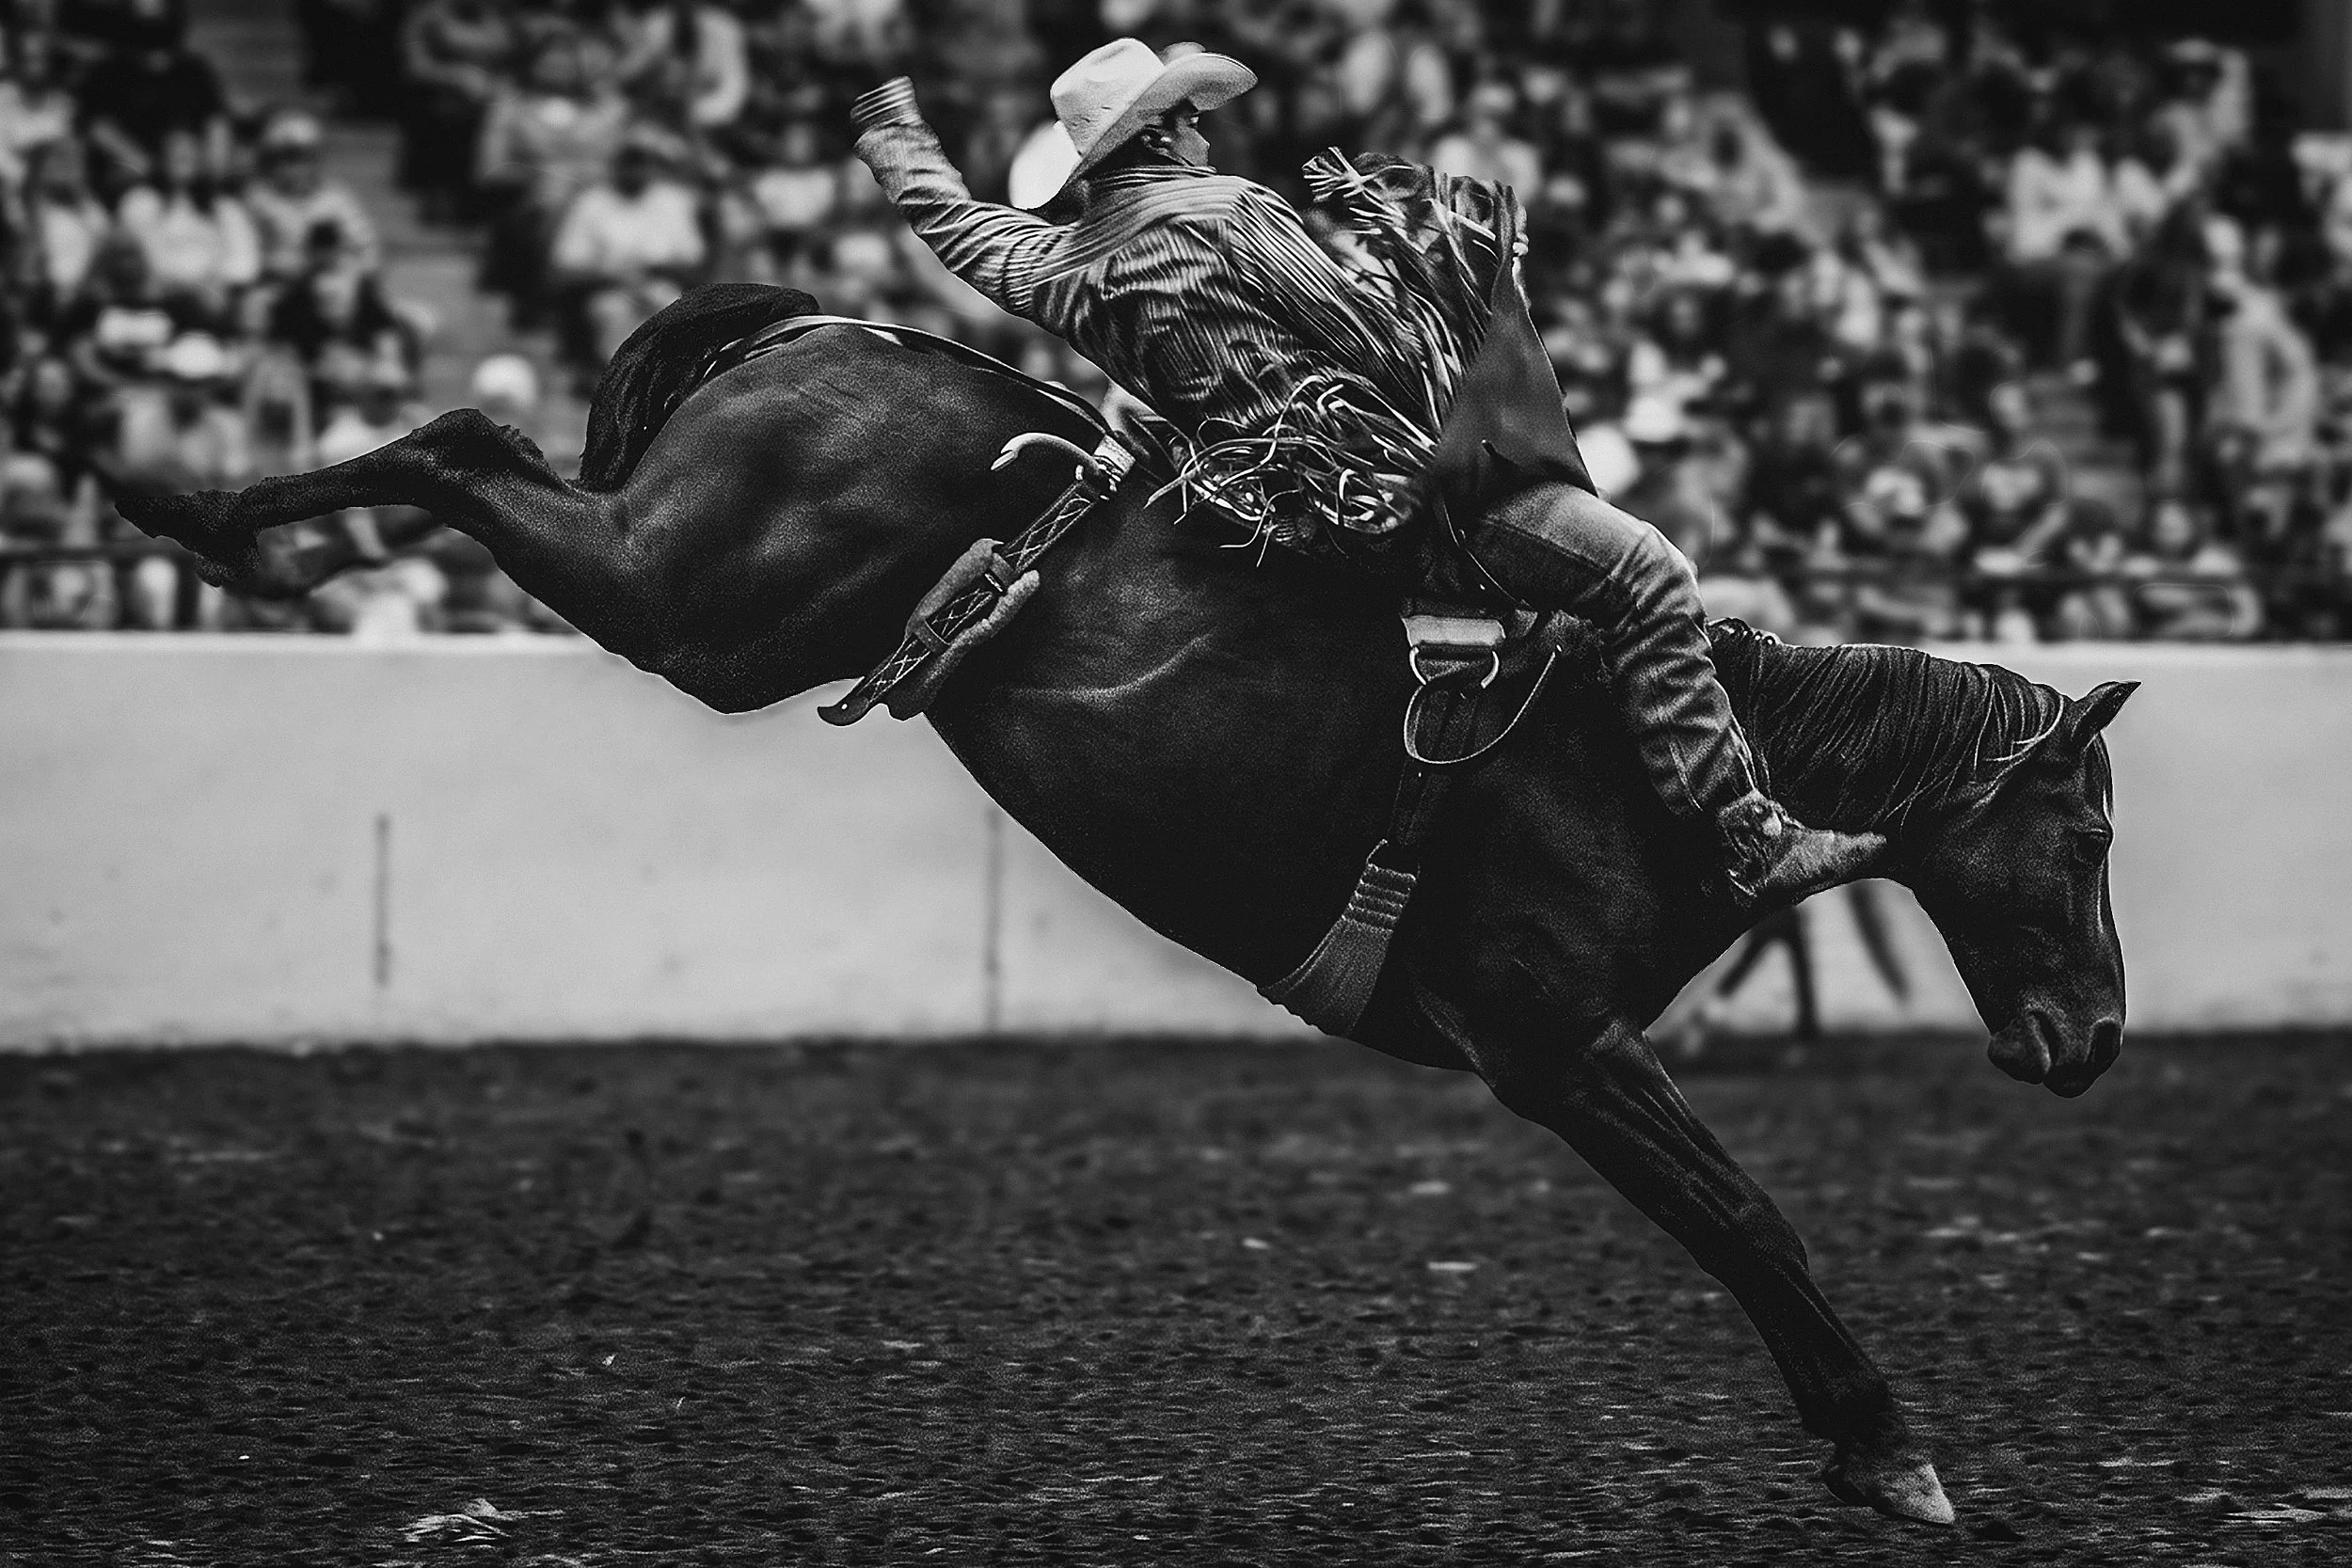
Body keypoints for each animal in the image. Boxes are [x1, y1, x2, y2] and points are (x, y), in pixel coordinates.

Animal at [121, 285, 2136, 1529]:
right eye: (2090, 829)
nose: (2099, 1037)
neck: (1647, 760)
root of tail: (826, 328)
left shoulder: (1574, 1054)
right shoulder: (1561, 1045)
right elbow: (1746, 1217)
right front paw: (1888, 1450)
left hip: (687, 602)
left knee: (473, 444)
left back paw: (201, 512)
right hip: (687, 606)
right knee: (464, 444)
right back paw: (209, 518)